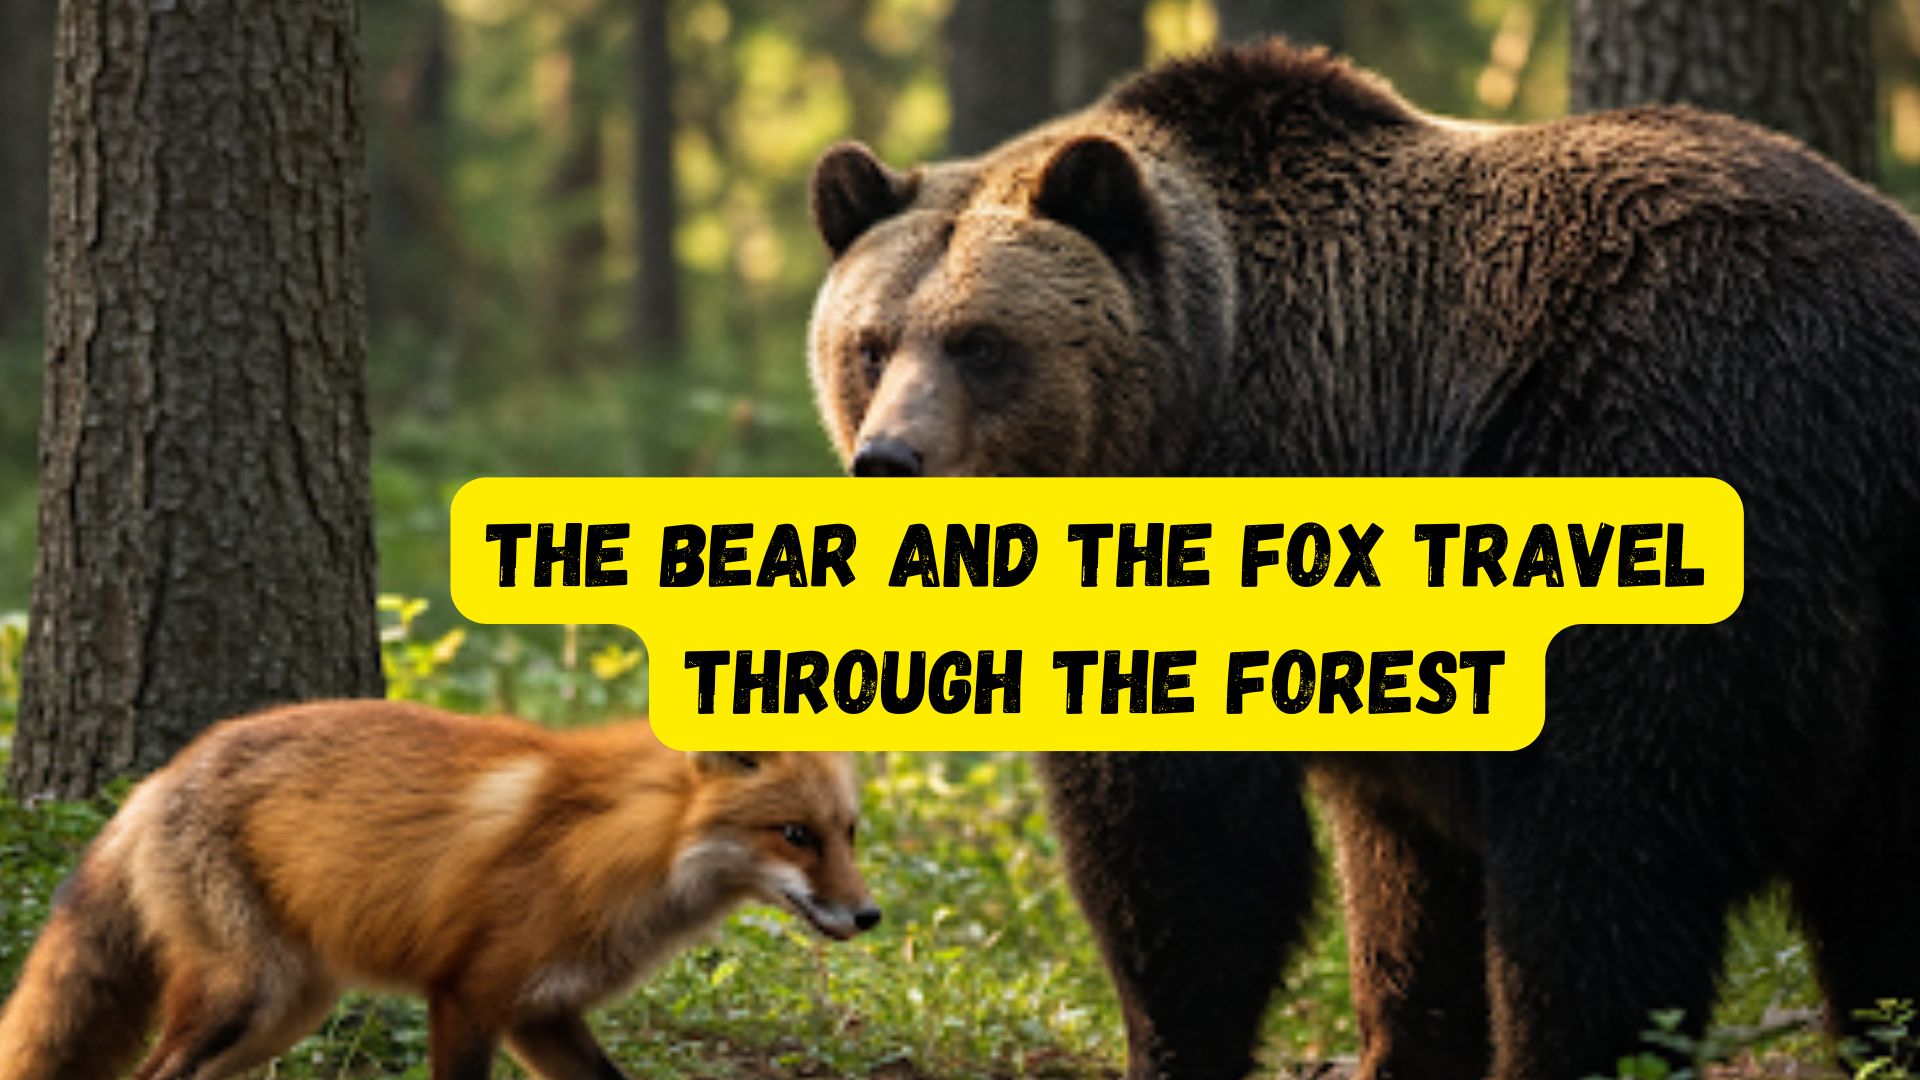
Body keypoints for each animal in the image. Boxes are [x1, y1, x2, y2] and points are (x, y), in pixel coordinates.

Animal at [0, 699, 881, 1080]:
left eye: (848, 832)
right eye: (794, 835)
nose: (870, 915)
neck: (622, 847)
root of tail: (158, 777)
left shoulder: (543, 1012)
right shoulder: (469, 994)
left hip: (286, 1013)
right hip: (242, 997)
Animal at [804, 40, 1920, 1080]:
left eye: (982, 343)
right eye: (870, 343)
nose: (889, 459)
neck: (1193, 392)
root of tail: (1875, 394)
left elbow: (1184, 850)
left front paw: (1174, 1037)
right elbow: (1403, 875)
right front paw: (1404, 1039)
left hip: (1665, 487)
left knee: (1604, 852)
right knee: (1879, 896)